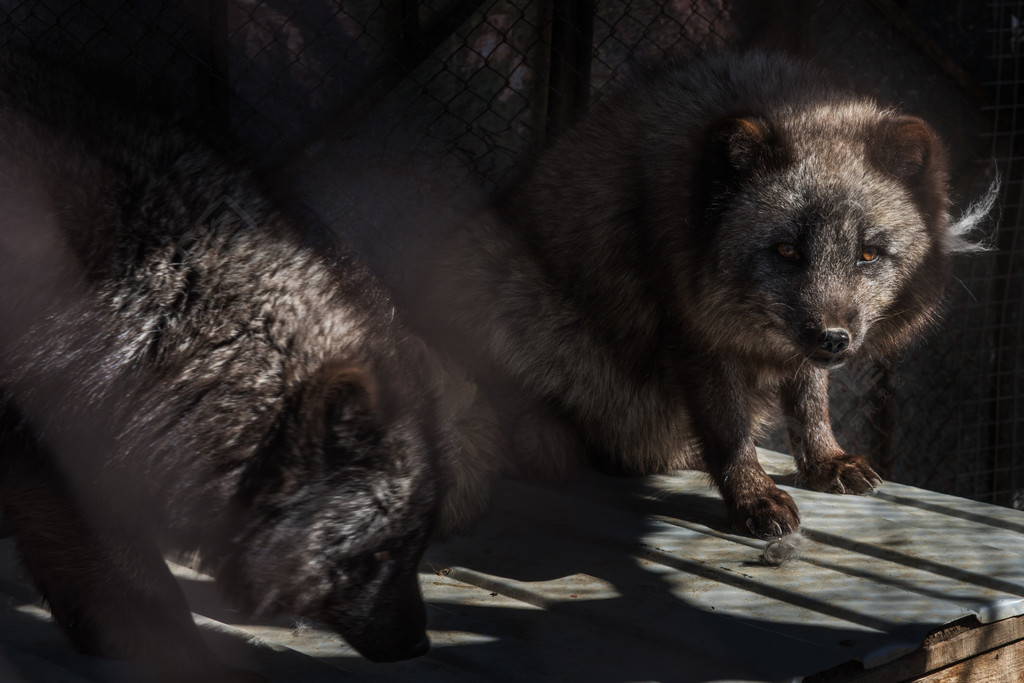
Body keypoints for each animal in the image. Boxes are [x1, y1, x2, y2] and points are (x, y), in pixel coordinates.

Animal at [423, 50, 991, 540]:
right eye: (786, 249)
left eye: (868, 254)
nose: (833, 340)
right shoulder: (693, 332)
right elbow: (728, 428)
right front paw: (753, 496)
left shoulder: (797, 345)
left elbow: (809, 399)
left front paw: (825, 461)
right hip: (489, 272)